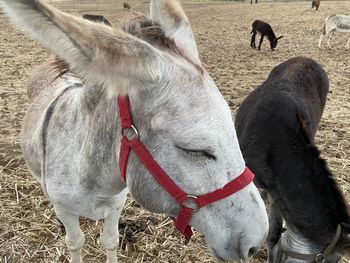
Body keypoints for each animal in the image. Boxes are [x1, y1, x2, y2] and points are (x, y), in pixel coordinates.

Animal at [0, 0, 268, 263]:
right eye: (194, 150)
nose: (256, 242)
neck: (90, 171)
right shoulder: (66, 210)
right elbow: (75, 242)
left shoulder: (116, 205)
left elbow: (110, 241)